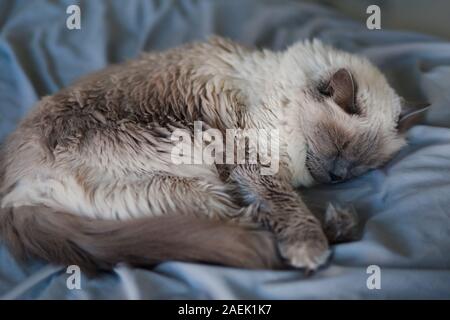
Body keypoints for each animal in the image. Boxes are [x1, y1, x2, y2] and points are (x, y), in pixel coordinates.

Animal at [0, 37, 428, 272]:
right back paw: (324, 234)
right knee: (242, 225)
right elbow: (286, 203)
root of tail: (14, 196)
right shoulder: (252, 157)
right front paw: (307, 247)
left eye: (360, 167)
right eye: (336, 146)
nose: (338, 177)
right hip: (195, 166)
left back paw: (339, 221)